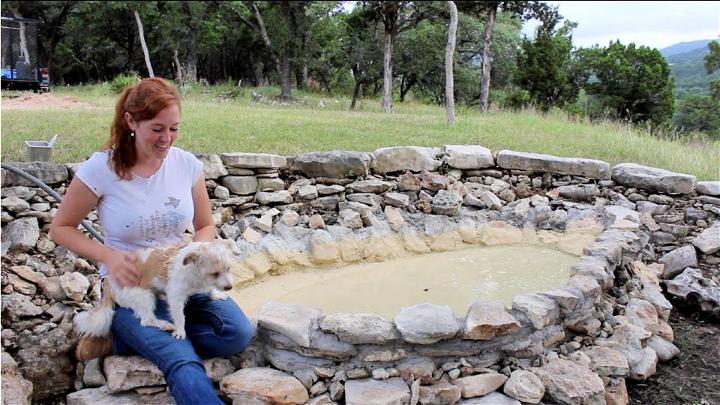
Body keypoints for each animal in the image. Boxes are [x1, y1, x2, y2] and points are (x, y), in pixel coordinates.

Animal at [77, 240, 238, 338]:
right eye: (215, 273)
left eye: (229, 268)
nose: (229, 287)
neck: (194, 272)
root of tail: (109, 285)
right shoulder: (176, 298)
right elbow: (180, 317)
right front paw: (180, 331)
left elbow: (210, 289)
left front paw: (216, 294)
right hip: (144, 296)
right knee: (146, 320)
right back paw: (165, 324)